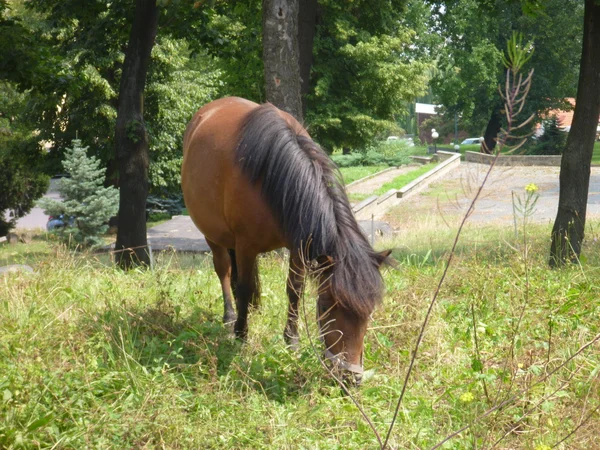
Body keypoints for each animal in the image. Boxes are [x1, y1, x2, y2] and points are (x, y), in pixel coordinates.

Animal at [180, 96, 392, 384]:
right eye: (326, 305)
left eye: (369, 312)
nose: (350, 378)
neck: (271, 177)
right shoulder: (246, 246)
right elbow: (244, 287)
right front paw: (241, 335)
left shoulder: (299, 245)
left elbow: (295, 289)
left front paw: (292, 341)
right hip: (213, 235)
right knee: (224, 270)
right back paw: (230, 316)